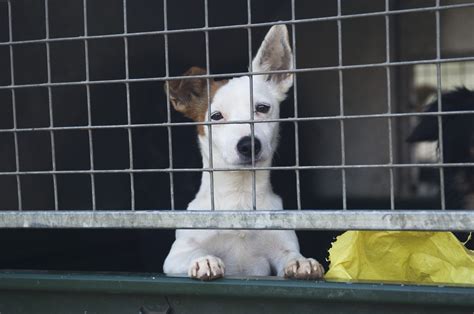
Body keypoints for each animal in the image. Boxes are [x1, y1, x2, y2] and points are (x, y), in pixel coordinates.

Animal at [161, 24, 324, 280]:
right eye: (216, 116)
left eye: (262, 108)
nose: (249, 144)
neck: (239, 198)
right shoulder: (174, 257)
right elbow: (192, 252)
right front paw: (204, 260)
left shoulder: (279, 246)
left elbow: (290, 255)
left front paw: (301, 262)